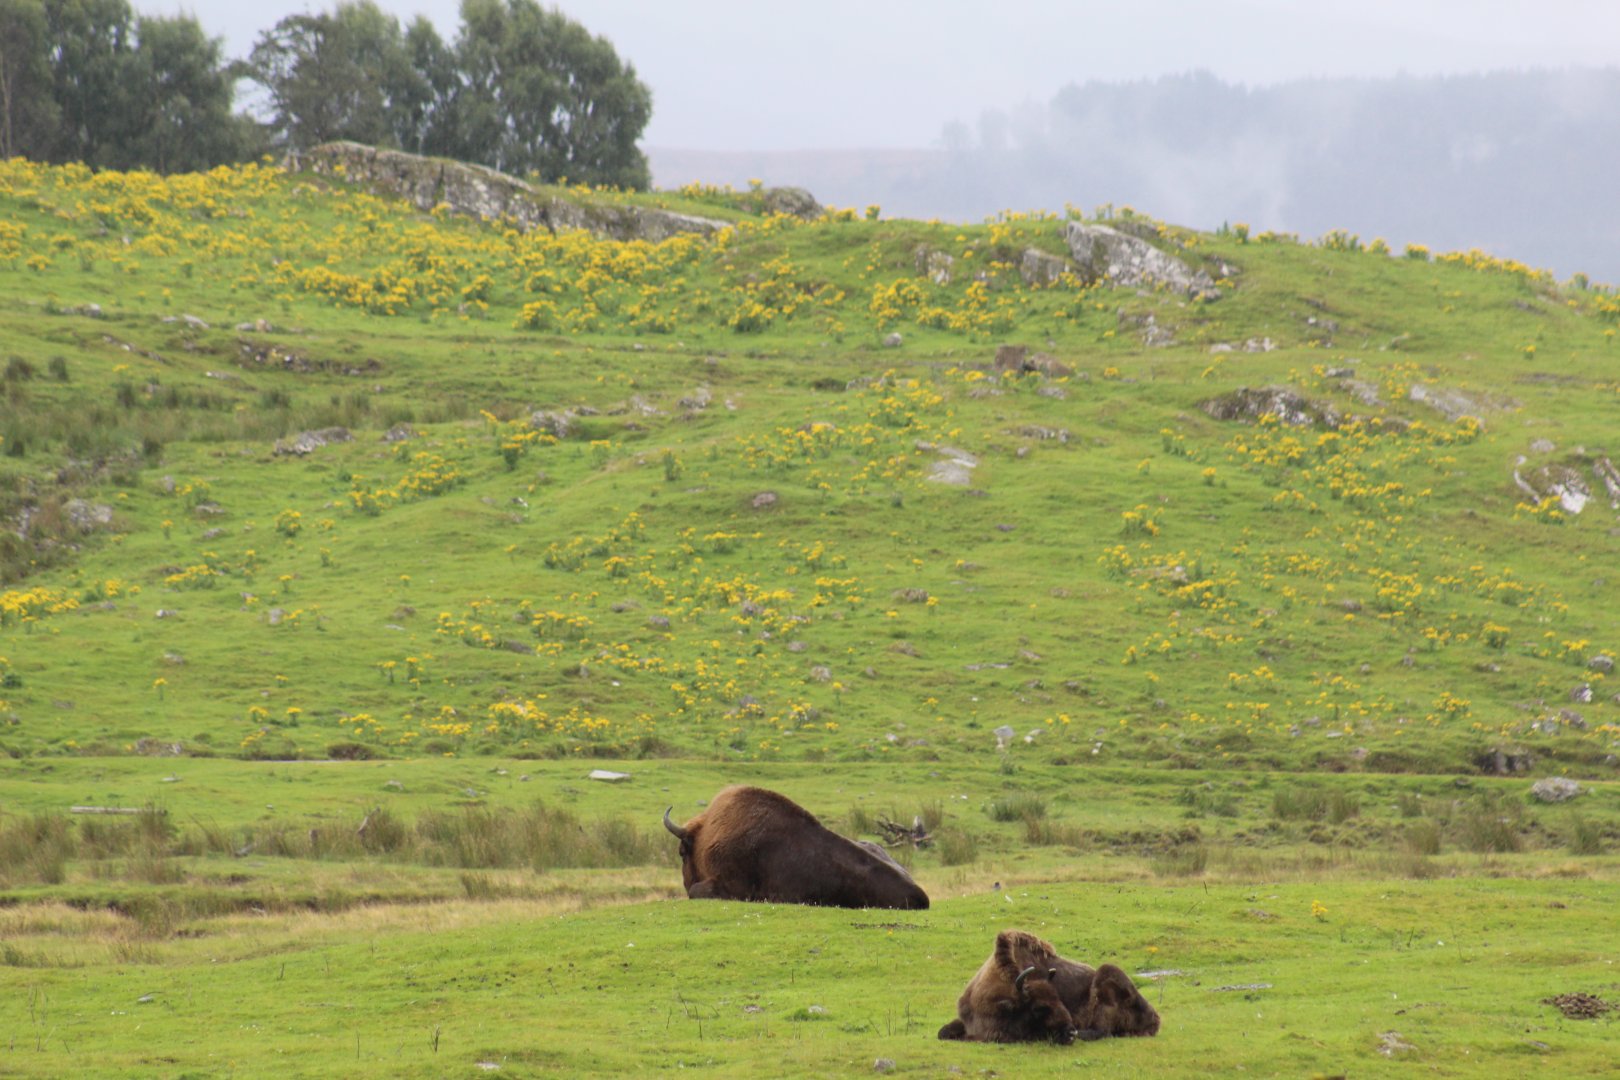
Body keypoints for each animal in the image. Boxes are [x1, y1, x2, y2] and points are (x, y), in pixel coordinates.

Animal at [939, 929, 1161, 1043]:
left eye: (1059, 999)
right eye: (1039, 1008)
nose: (1070, 1033)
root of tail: (1155, 1018)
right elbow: (943, 1032)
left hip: (1107, 973)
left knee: (1103, 1031)